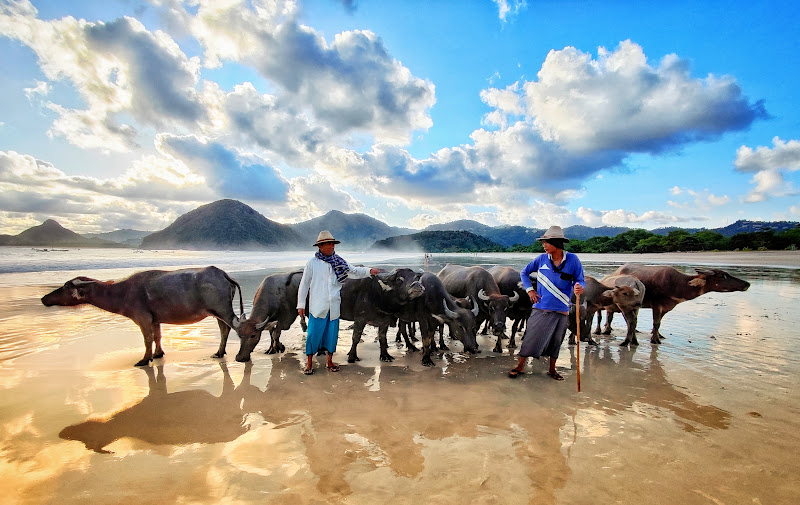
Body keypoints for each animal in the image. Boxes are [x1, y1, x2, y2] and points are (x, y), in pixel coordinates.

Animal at [39, 266, 244, 368]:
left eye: (66, 286)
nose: (43, 298)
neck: (122, 292)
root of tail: (222, 274)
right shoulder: (155, 319)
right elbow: (157, 336)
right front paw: (158, 354)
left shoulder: (142, 318)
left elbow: (147, 339)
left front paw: (145, 359)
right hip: (217, 313)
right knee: (224, 329)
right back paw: (219, 352)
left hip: (223, 310)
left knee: (237, 327)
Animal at [612, 264, 752, 342]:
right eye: (723, 276)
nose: (747, 284)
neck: (678, 284)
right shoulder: (656, 305)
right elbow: (656, 323)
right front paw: (654, 340)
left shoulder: (667, 307)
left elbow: (659, 323)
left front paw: (658, 335)